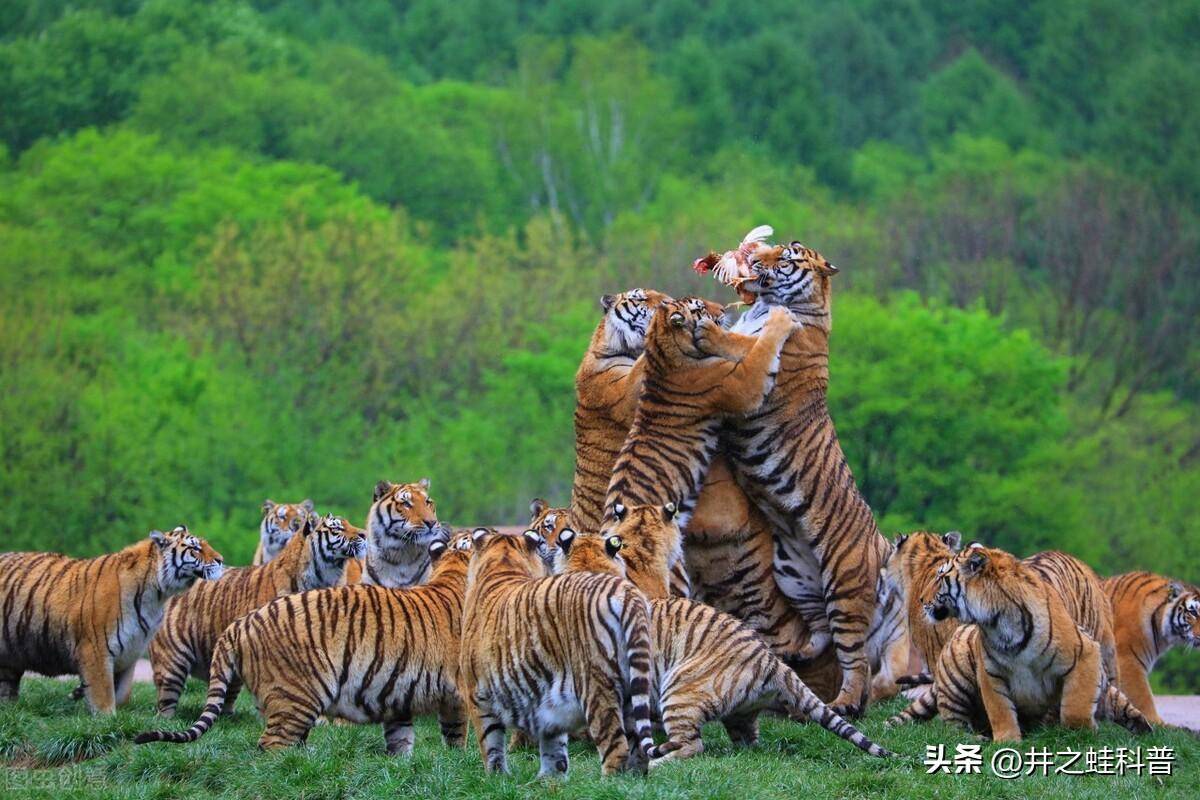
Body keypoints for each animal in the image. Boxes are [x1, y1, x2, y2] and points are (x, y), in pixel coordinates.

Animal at [0, 527, 223, 713]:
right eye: (195, 548)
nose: (221, 559)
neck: (157, 595)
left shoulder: (130, 652)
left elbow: (122, 694)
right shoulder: (95, 650)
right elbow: (104, 697)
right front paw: (106, 720)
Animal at [458, 529, 656, 778]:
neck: (503, 566)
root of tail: (626, 592)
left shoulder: (477, 695)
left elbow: (491, 745)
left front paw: (497, 778)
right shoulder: (546, 701)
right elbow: (554, 747)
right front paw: (550, 779)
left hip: (595, 686)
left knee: (616, 747)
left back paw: (605, 782)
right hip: (634, 685)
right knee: (638, 747)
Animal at [552, 526, 893, 765]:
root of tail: (771, 660)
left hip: (679, 690)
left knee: (693, 746)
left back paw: (659, 762)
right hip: (742, 712)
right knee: (749, 742)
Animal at [712, 237, 887, 716]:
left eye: (786, 257)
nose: (753, 259)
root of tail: (880, 542)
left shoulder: (750, 359)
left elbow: (728, 340)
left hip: (844, 587)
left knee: (855, 660)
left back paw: (844, 704)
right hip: (794, 574)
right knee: (821, 630)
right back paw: (797, 651)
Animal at [916, 544, 1149, 741]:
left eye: (940, 577)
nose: (920, 599)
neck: (997, 623)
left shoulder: (1085, 653)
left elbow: (1076, 705)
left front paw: (1082, 733)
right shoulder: (990, 673)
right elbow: (1000, 710)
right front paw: (1007, 741)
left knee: (1116, 699)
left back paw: (1144, 727)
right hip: (956, 680)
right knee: (954, 728)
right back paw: (978, 738)